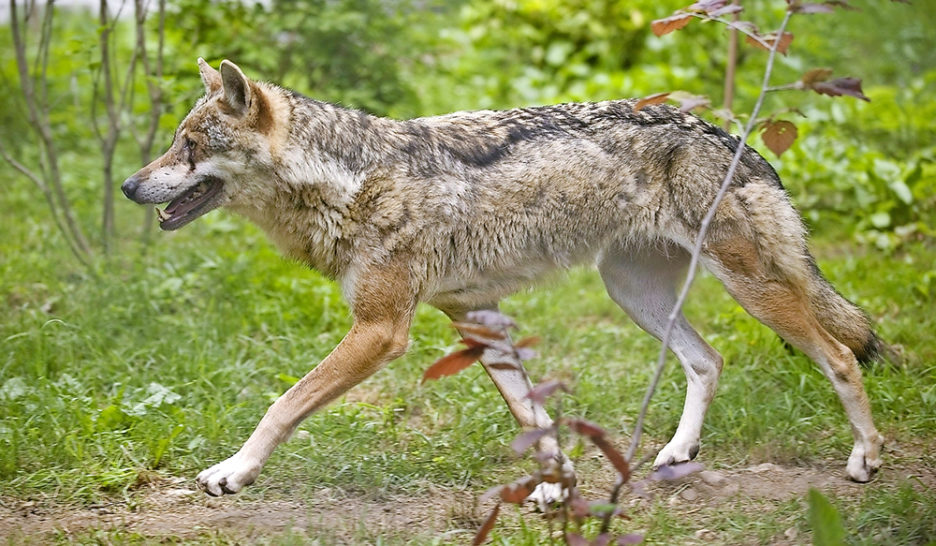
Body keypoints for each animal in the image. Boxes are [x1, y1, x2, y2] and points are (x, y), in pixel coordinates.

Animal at [121, 59, 886, 498]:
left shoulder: (380, 332)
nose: (129, 185)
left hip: (750, 290)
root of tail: (741, 142)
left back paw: (866, 458)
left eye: (189, 146)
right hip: (634, 294)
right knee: (709, 360)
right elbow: (536, 419)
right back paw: (676, 452)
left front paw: (233, 471)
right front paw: (559, 488)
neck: (348, 182)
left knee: (842, 356)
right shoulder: (476, 317)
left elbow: (282, 403)